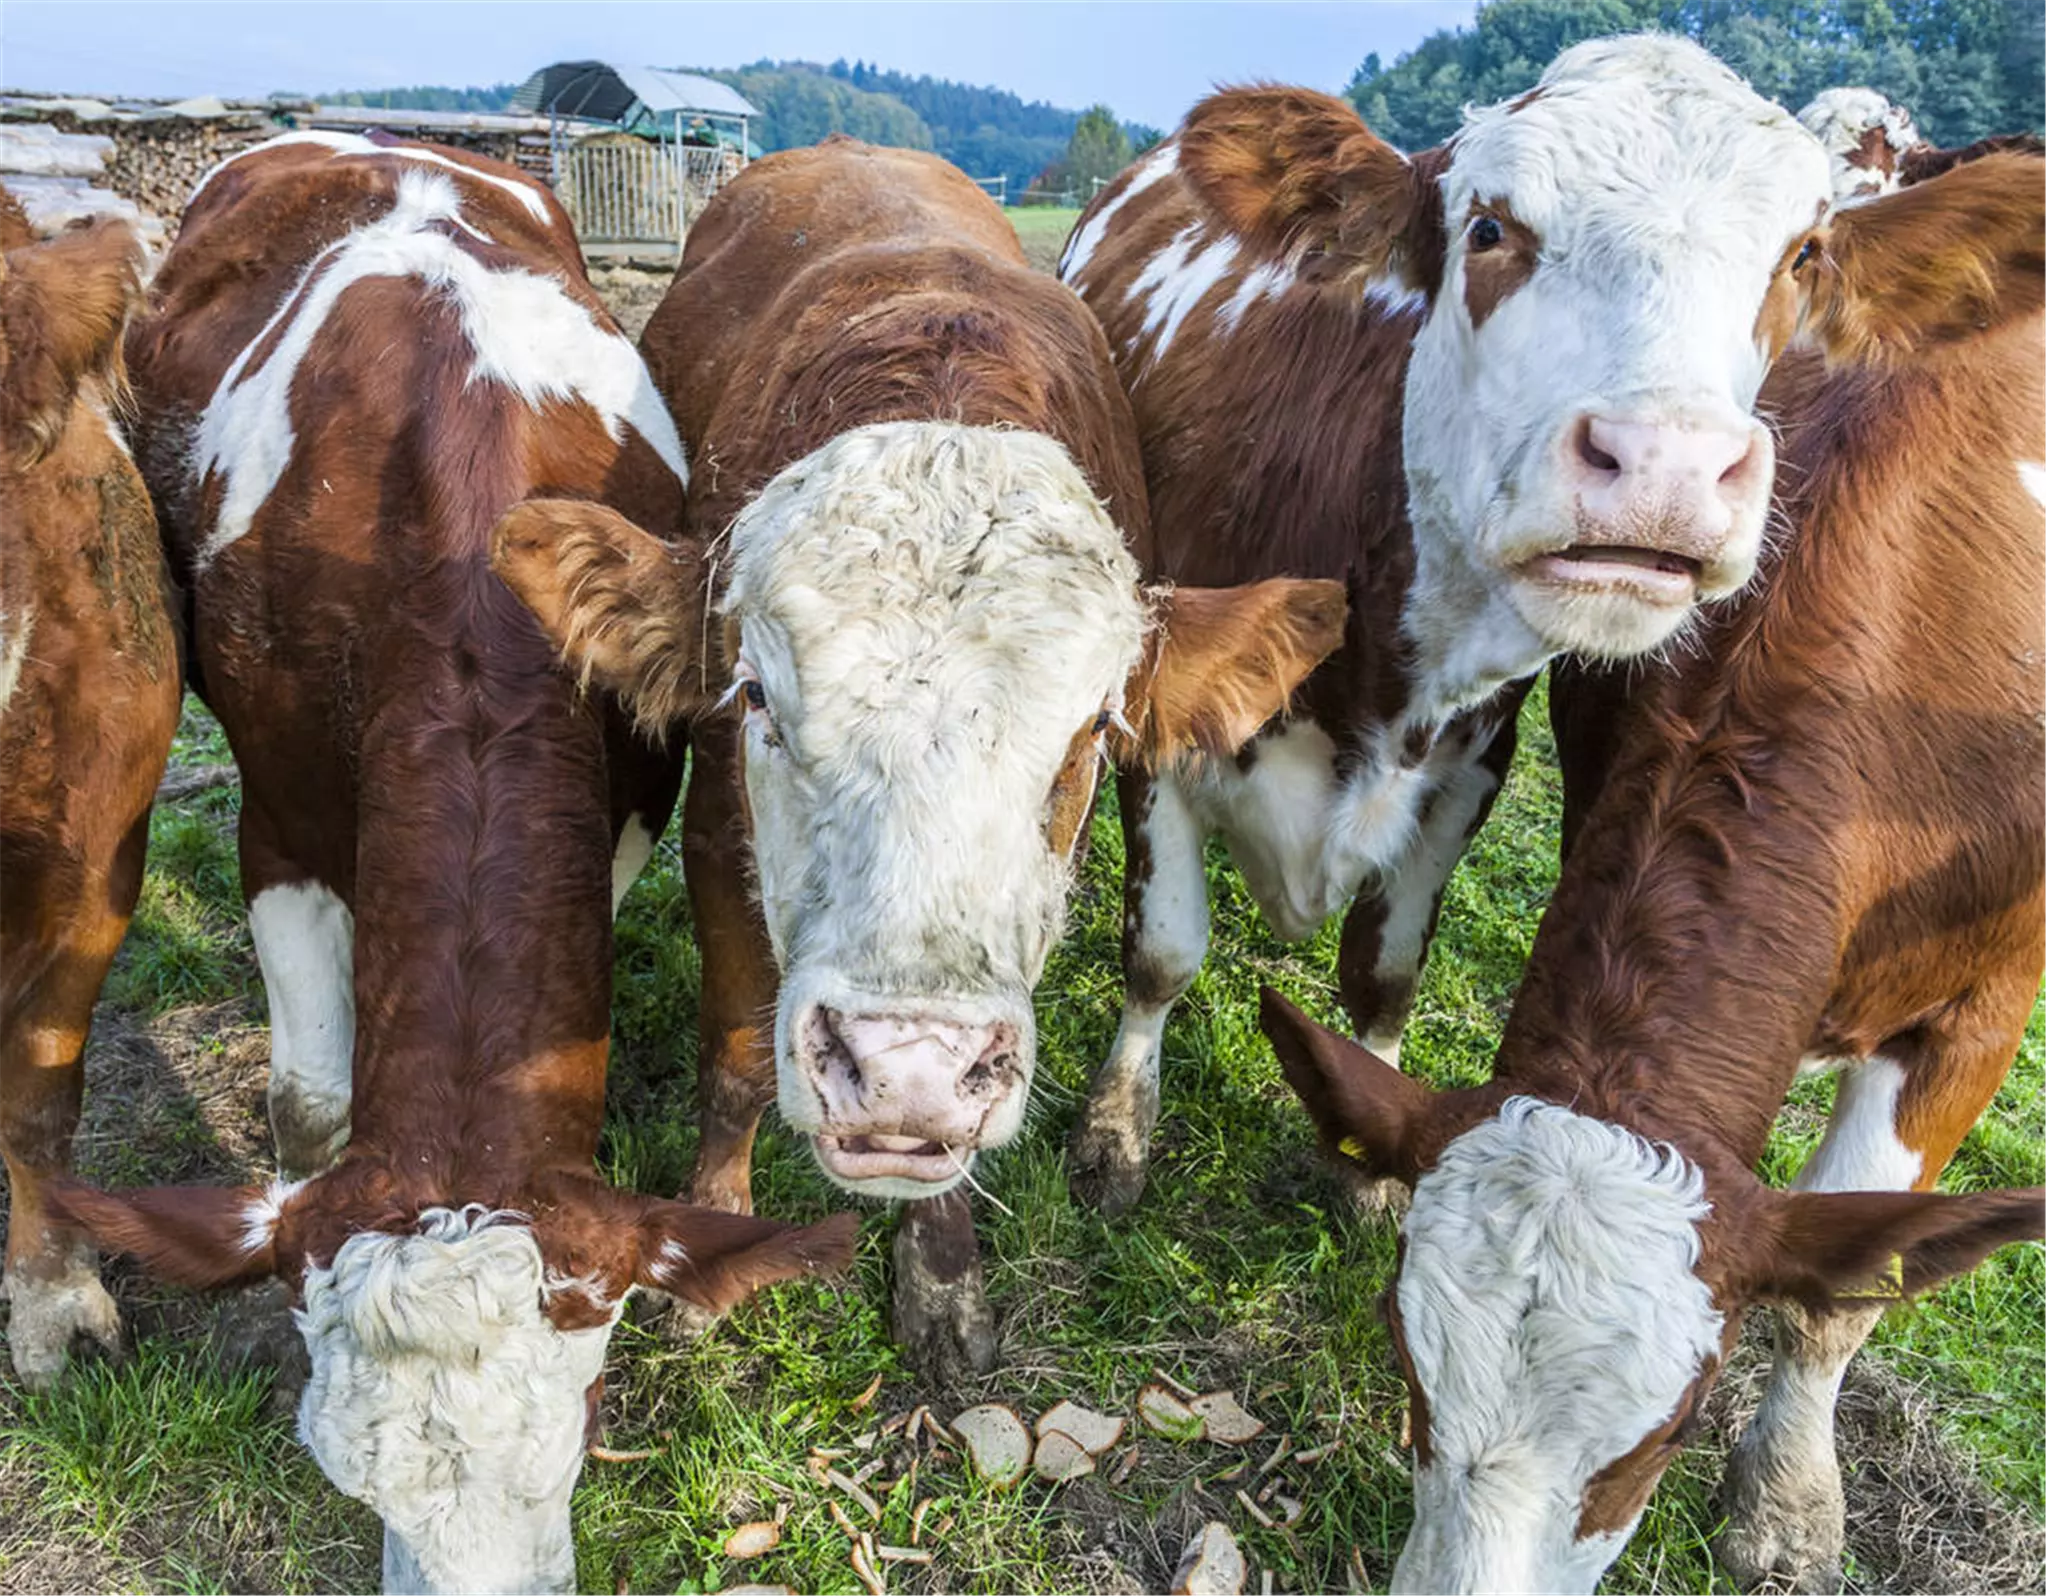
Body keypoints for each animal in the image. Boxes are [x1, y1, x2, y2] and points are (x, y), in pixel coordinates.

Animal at [488, 137, 1350, 1375]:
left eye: (1092, 732)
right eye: (759, 697)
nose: (905, 1070)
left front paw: (941, 1276)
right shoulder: (720, 827)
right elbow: (737, 1050)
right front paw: (715, 1234)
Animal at [1055, 28, 2046, 1219]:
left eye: (1803, 256)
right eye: (1488, 228)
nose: (1666, 467)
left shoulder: (1466, 768)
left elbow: (1384, 975)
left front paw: (1371, 1172)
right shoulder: (1163, 710)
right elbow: (1162, 952)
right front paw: (1114, 1134)